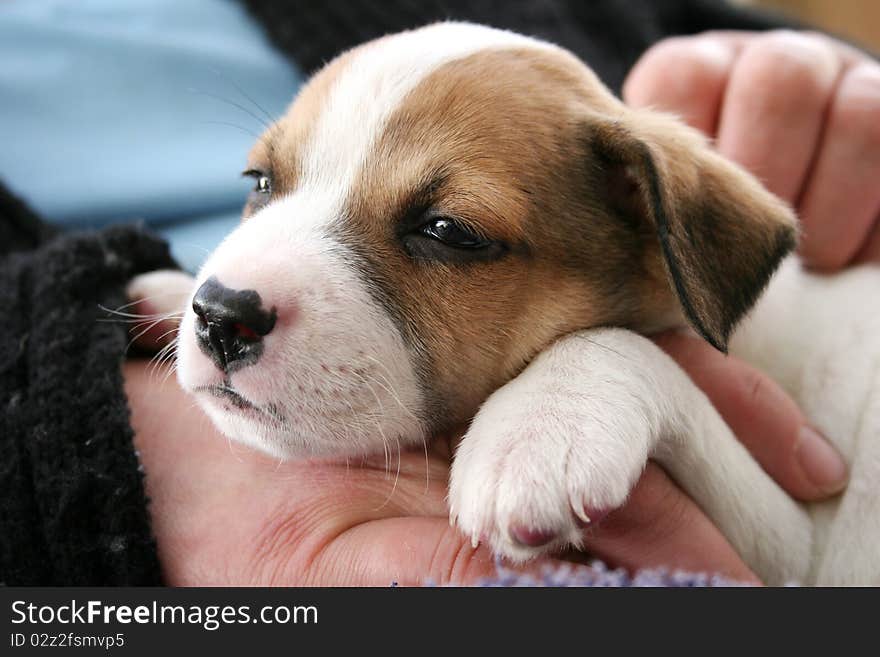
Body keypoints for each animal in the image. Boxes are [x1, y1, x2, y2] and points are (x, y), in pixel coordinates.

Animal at [131, 23, 880, 584]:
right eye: (260, 180)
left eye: (447, 231)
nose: (220, 316)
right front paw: (166, 291)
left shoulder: (795, 550)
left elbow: (618, 344)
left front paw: (540, 427)